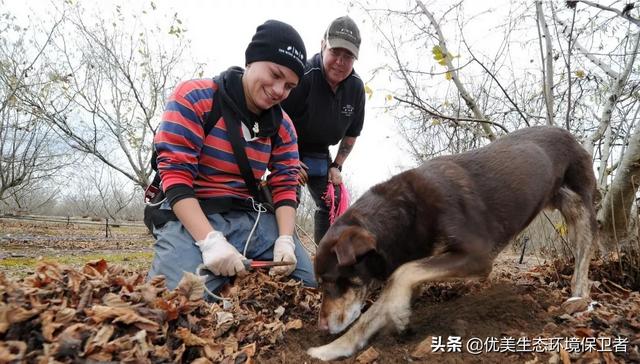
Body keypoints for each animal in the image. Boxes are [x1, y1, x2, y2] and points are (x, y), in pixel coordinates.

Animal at [308, 126, 596, 360]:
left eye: (331, 282)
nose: (321, 327)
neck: (407, 212)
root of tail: (573, 137)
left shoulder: (477, 256)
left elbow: (401, 274)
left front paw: (398, 316)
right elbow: (377, 308)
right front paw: (335, 348)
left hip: (580, 208)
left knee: (584, 258)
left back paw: (579, 300)